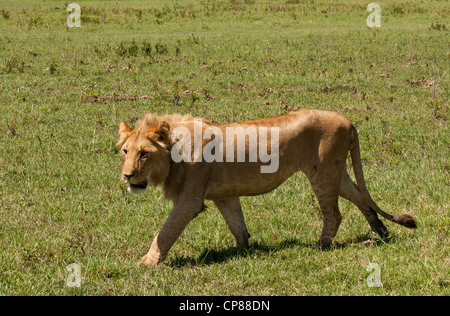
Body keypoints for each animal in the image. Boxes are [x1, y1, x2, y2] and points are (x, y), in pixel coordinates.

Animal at [116, 110, 414, 266]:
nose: (127, 176)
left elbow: (165, 233)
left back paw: (320, 246)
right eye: (125, 151)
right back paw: (382, 233)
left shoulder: (189, 201)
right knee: (362, 200)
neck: (174, 153)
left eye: (144, 154)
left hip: (323, 173)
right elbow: (237, 225)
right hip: (336, 174)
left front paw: (146, 263)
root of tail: (348, 121)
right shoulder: (225, 196)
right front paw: (246, 251)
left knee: (334, 214)